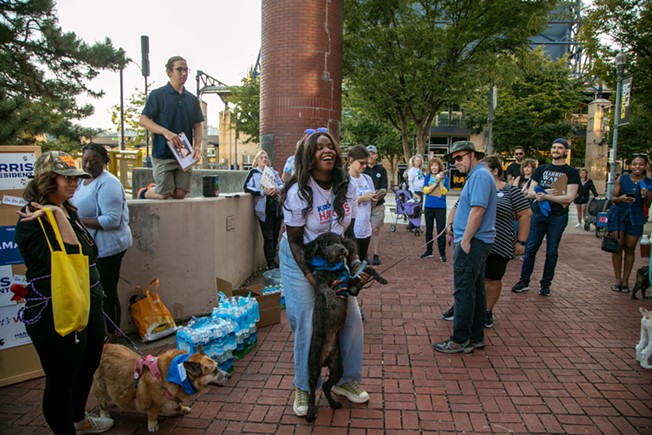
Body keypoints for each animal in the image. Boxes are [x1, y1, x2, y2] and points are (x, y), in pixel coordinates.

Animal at [90, 344, 229, 432]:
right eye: (214, 371)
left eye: (218, 366)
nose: (229, 375)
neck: (179, 374)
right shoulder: (153, 403)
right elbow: (152, 413)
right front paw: (152, 425)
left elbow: (176, 404)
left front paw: (182, 409)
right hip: (100, 388)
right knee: (102, 403)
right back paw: (105, 415)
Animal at [302, 233, 388, 424]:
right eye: (327, 243)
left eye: (339, 241)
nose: (342, 250)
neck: (333, 267)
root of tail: (325, 359)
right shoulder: (322, 283)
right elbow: (327, 289)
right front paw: (332, 300)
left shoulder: (352, 287)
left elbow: (365, 272)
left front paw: (378, 277)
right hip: (313, 366)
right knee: (312, 391)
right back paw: (310, 413)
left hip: (337, 367)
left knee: (327, 386)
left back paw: (334, 404)